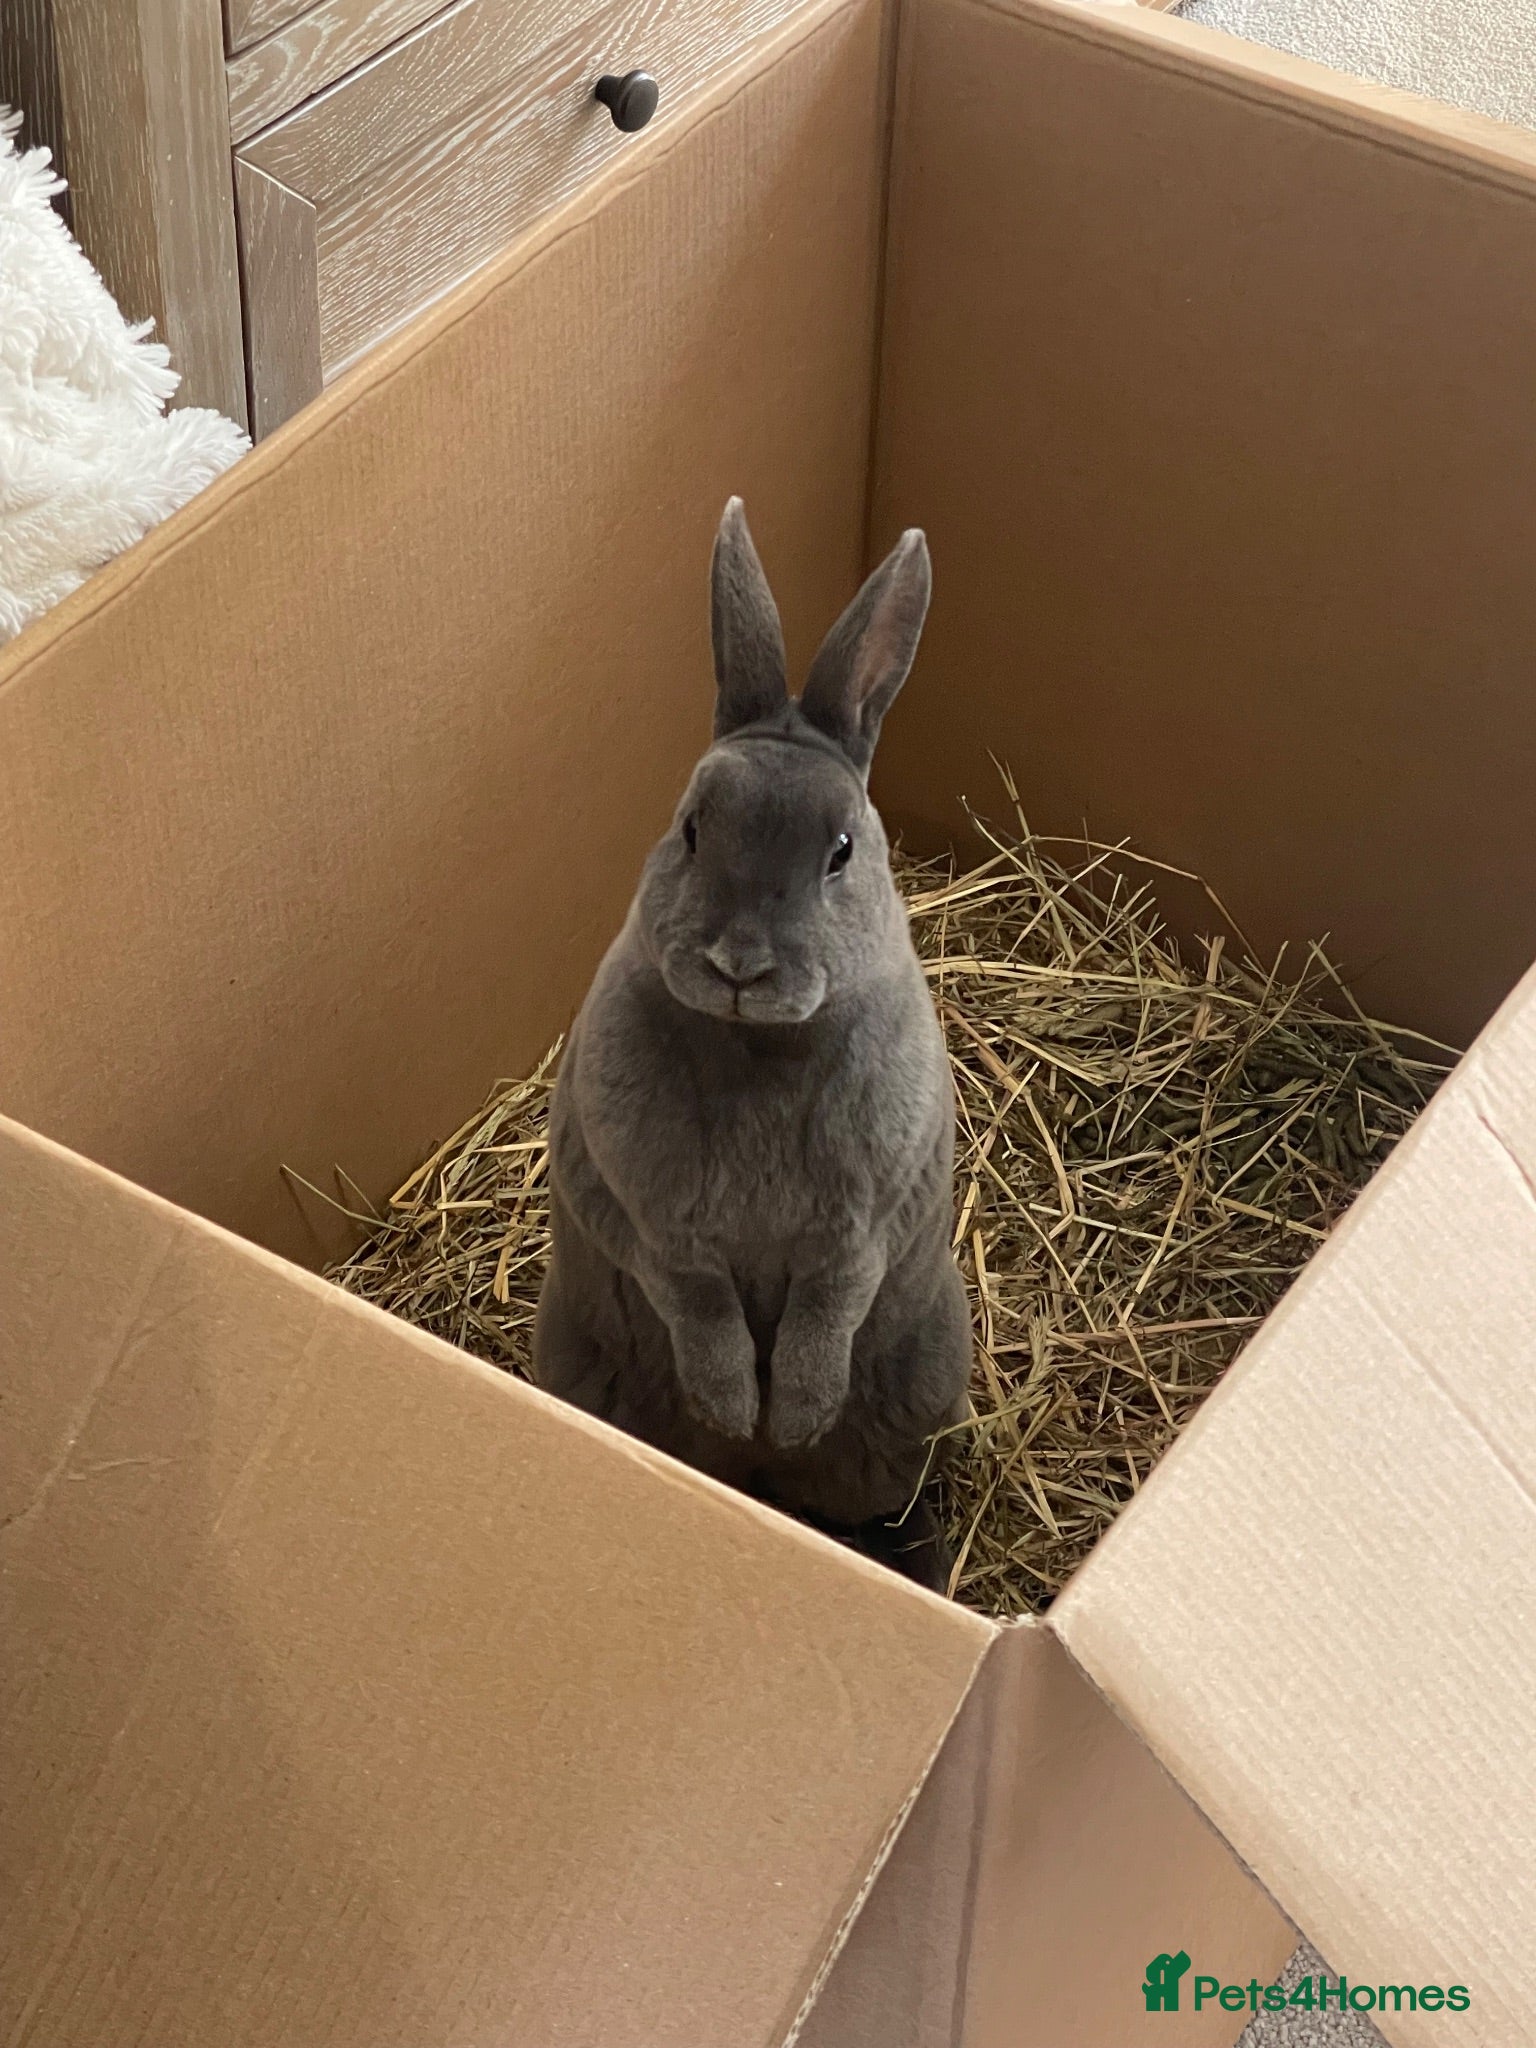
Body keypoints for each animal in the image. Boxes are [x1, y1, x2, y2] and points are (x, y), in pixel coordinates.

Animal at [532, 498, 973, 1591]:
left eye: (842, 852)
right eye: (691, 828)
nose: (739, 963)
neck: (757, 1047)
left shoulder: (865, 1224)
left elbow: (828, 1303)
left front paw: (797, 1412)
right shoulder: (650, 1219)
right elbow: (699, 1301)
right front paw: (739, 1408)